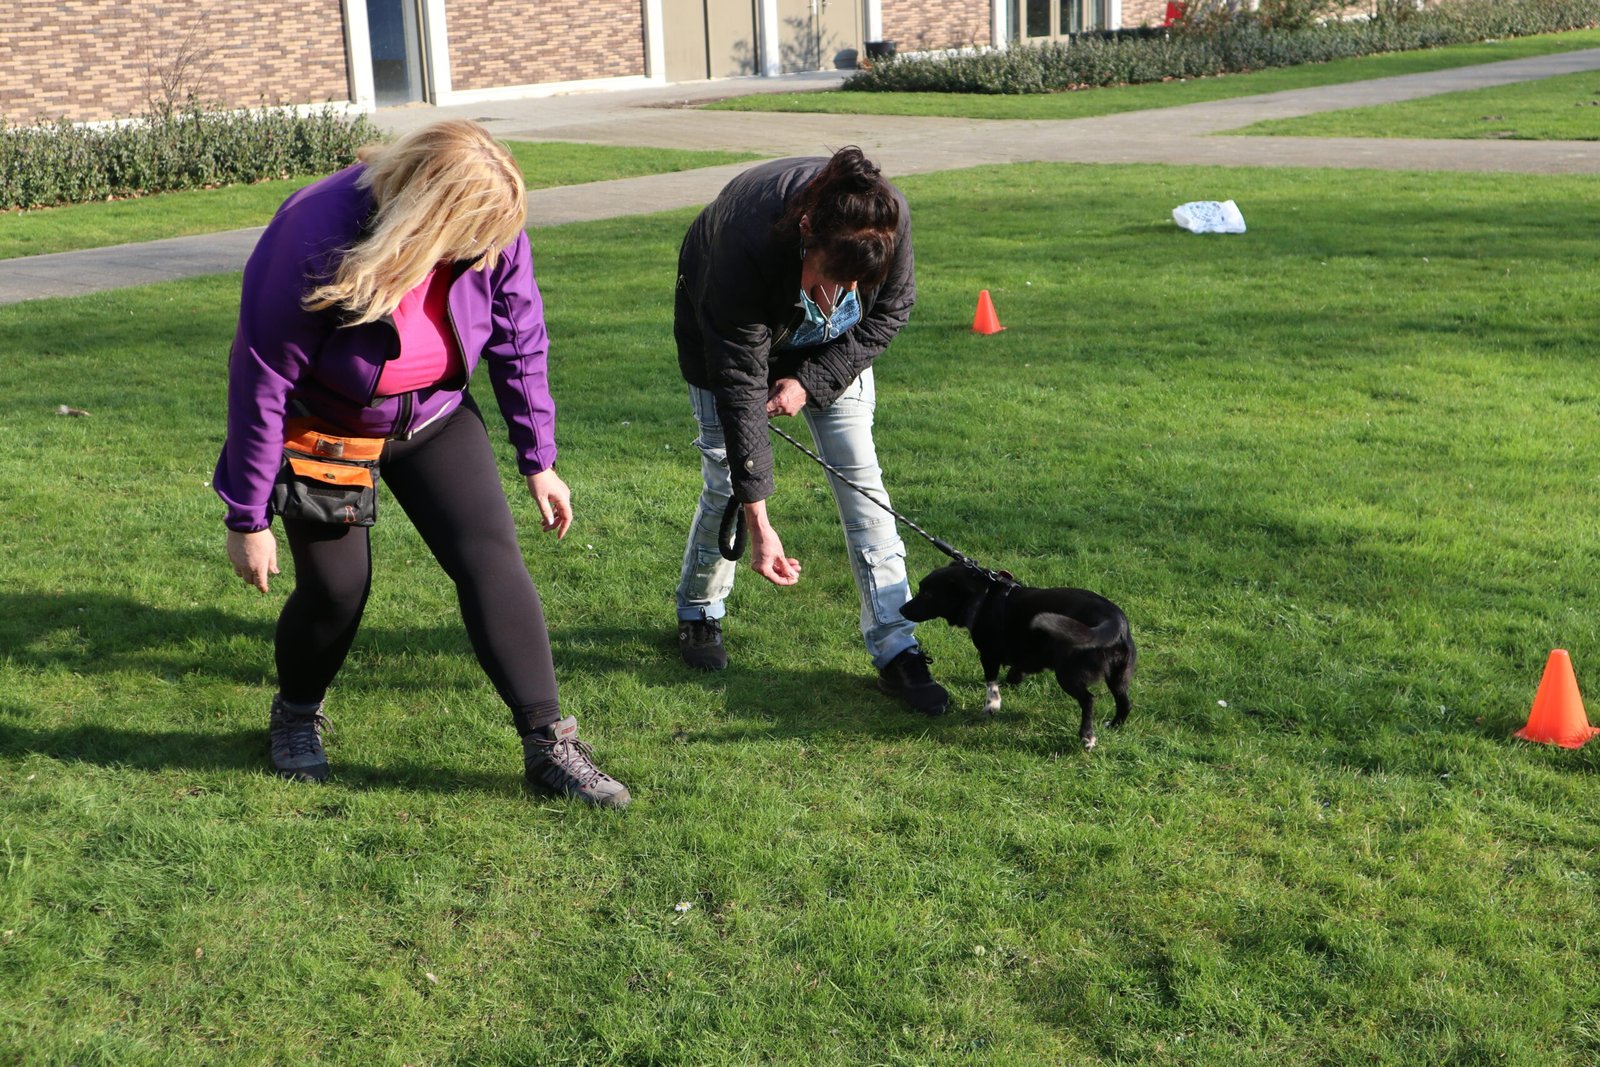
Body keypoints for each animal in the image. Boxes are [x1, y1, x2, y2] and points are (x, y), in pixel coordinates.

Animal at [900, 562, 1136, 750]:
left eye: (928, 594)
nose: (902, 610)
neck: (984, 596)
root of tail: (1114, 620)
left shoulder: (988, 655)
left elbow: (991, 683)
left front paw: (992, 706)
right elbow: (1017, 670)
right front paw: (1012, 680)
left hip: (1068, 673)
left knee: (1088, 700)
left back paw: (1087, 737)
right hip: (1118, 676)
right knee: (1125, 703)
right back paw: (1114, 725)